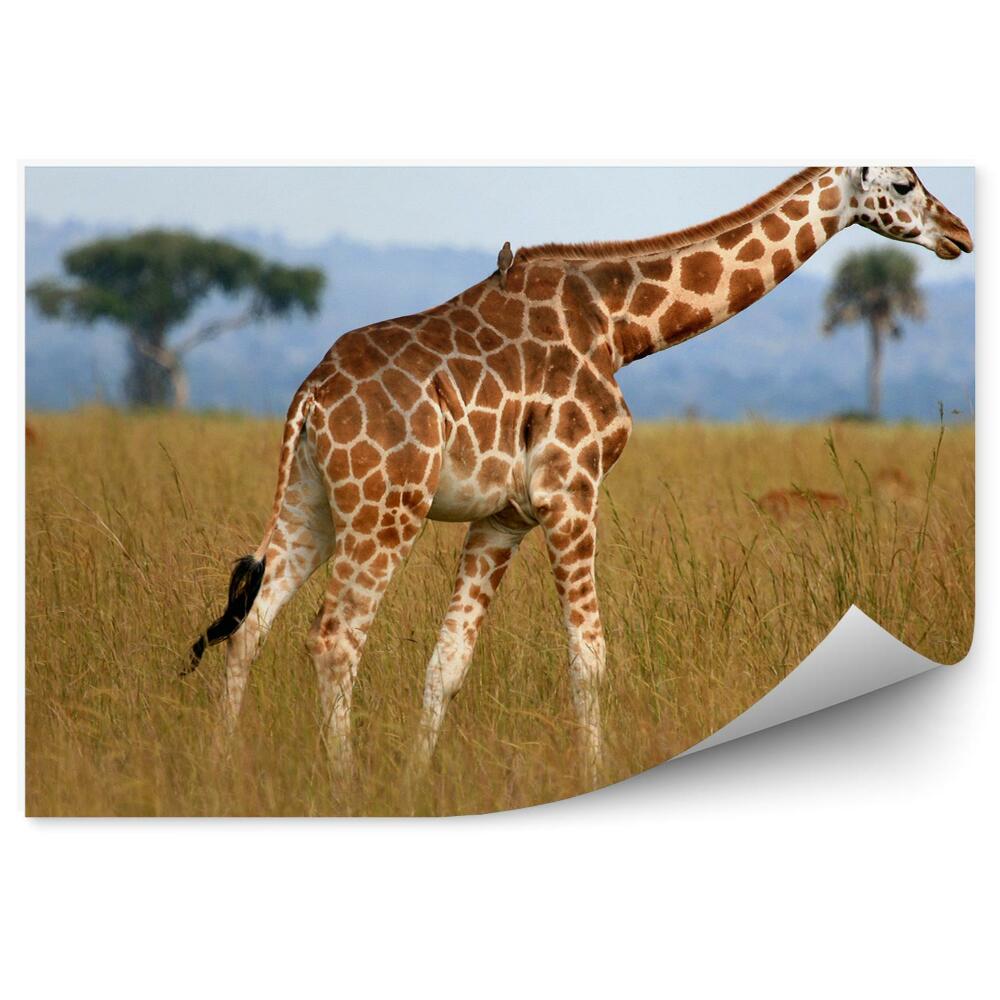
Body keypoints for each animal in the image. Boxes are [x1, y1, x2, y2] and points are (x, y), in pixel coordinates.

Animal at [189, 166, 972, 783]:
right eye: (906, 182)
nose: (960, 234)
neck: (621, 327)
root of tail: (311, 395)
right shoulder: (570, 489)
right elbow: (589, 657)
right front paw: (595, 773)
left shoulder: (502, 515)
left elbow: (448, 663)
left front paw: (415, 781)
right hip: (386, 507)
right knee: (333, 641)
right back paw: (344, 782)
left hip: (312, 505)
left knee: (250, 627)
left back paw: (225, 769)